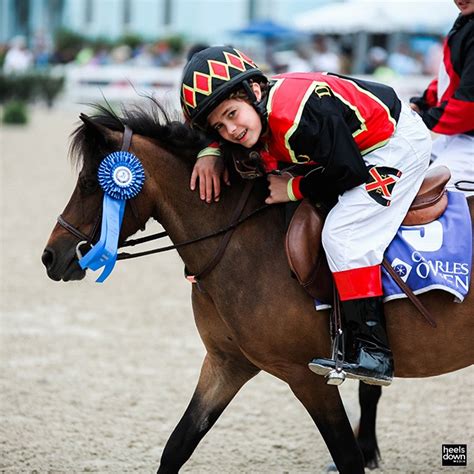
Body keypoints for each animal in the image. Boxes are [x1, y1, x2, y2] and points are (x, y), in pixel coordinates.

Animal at [41, 102, 474, 472]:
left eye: (88, 183)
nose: (50, 256)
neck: (238, 239)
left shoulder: (306, 377)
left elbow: (347, 456)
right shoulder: (226, 364)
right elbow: (177, 446)